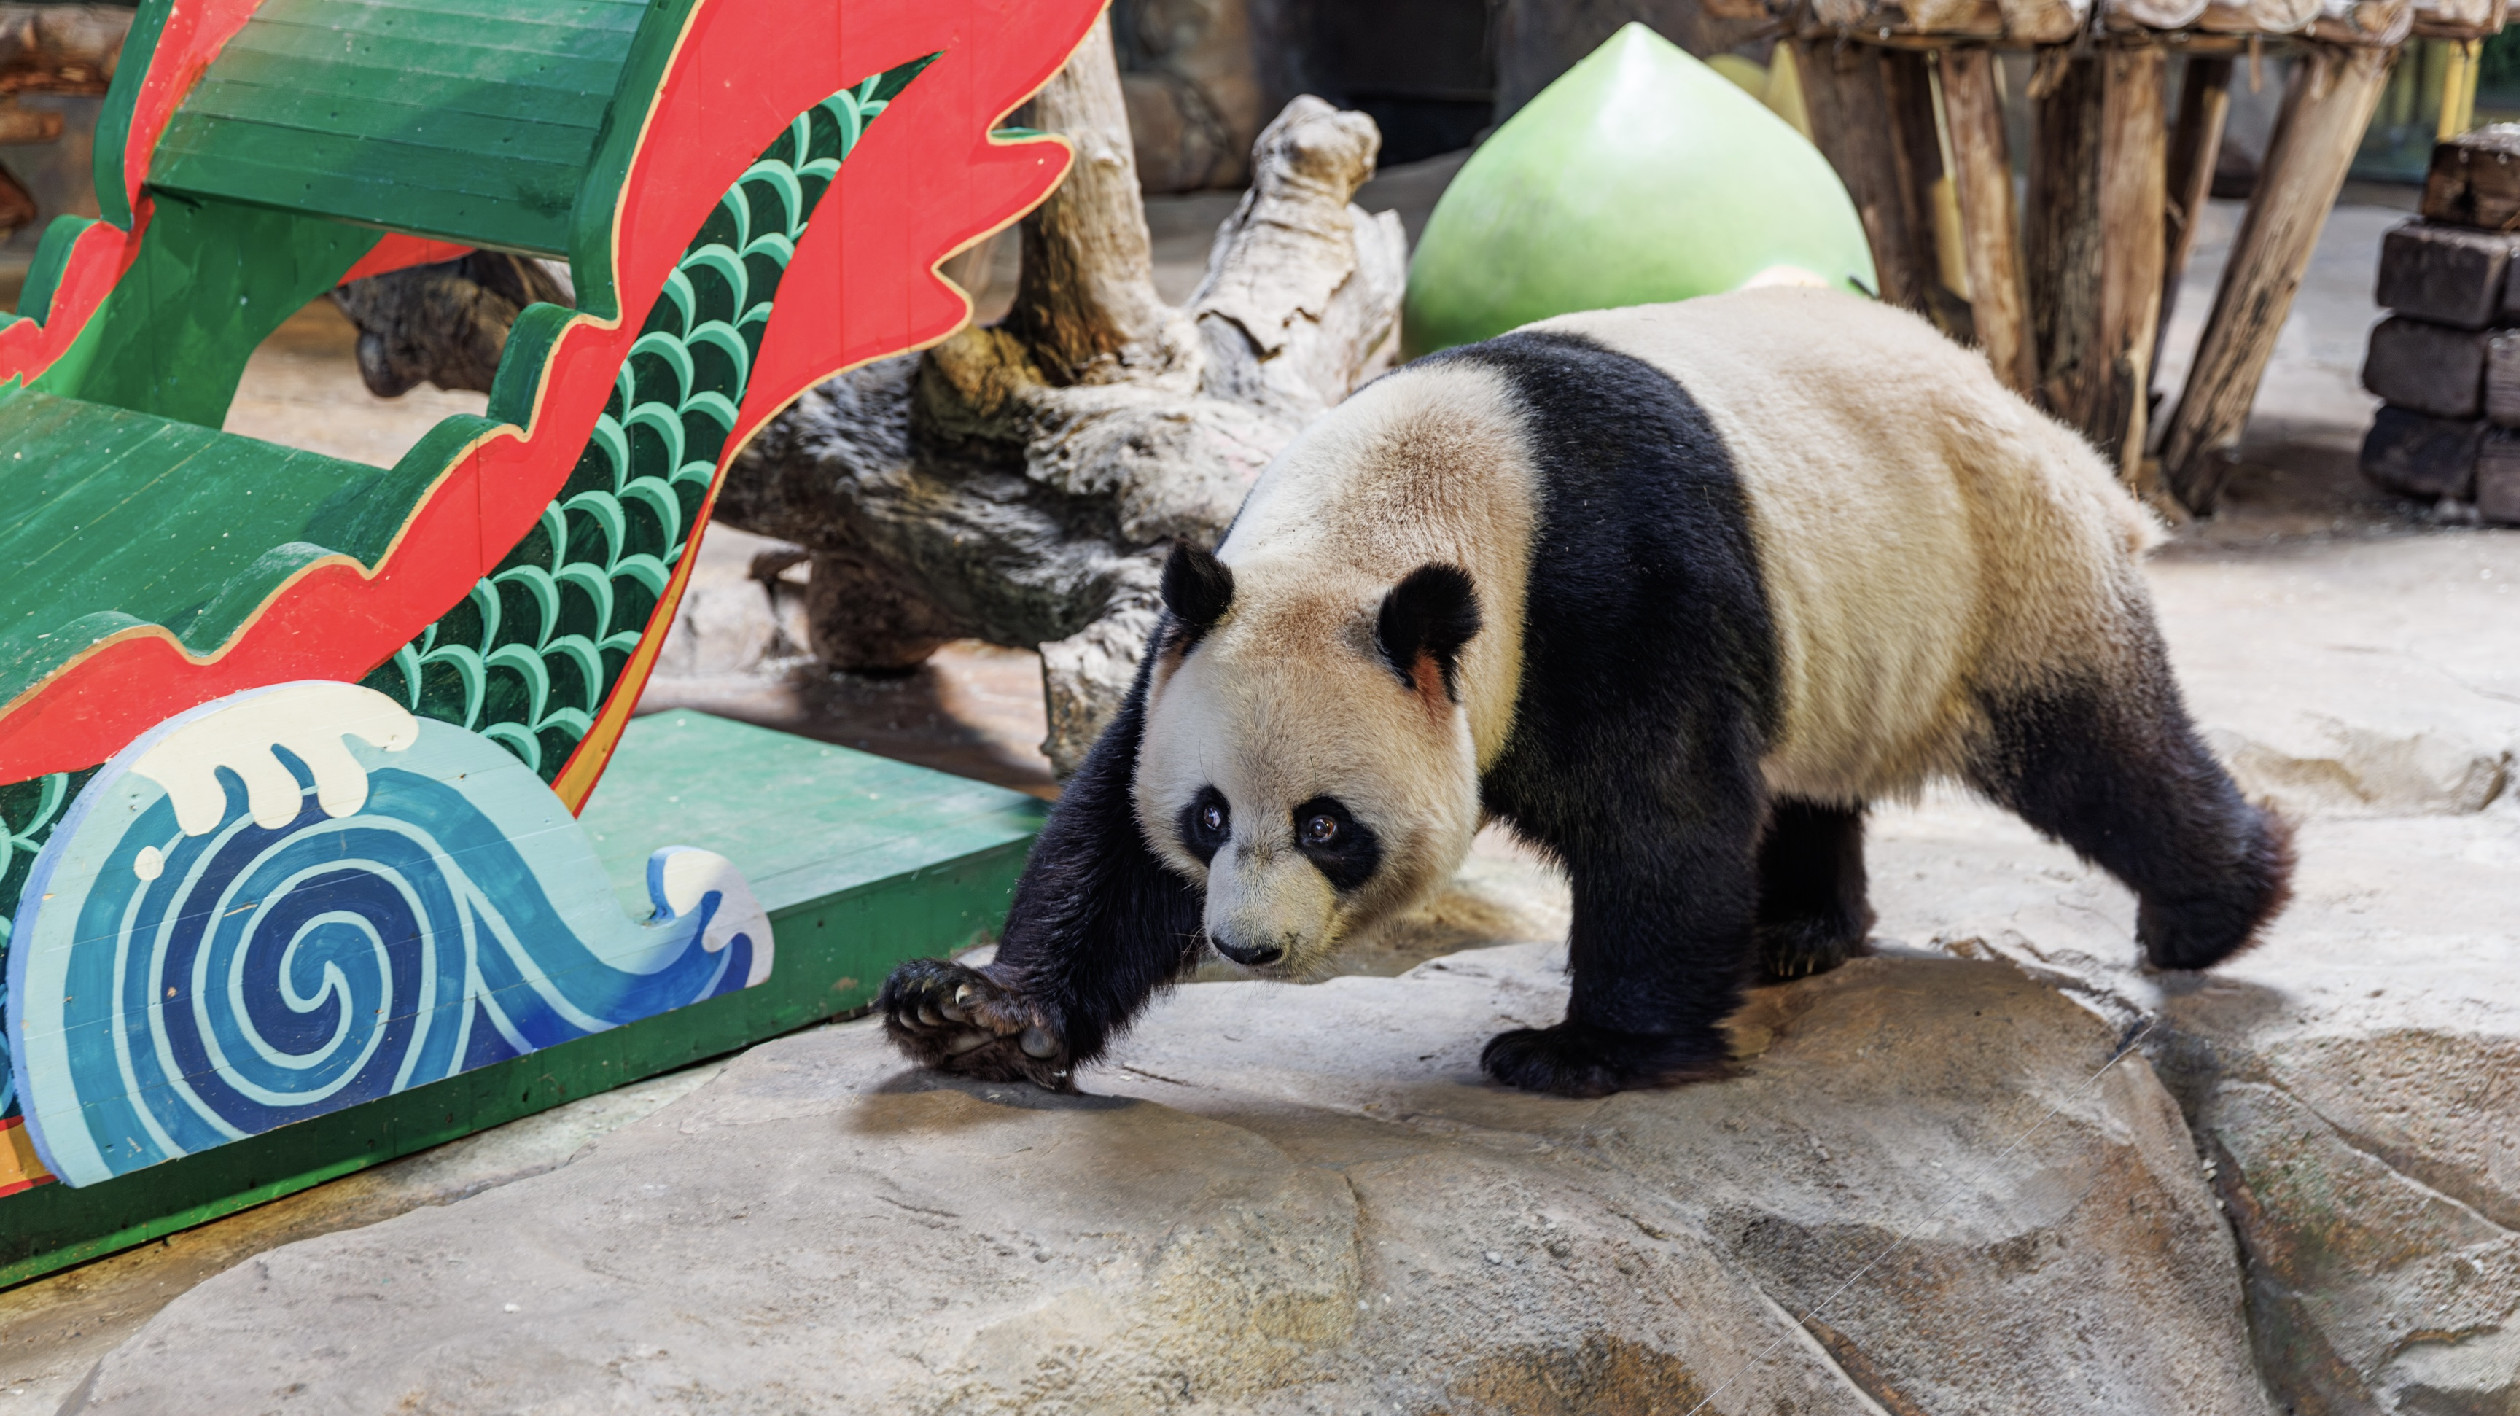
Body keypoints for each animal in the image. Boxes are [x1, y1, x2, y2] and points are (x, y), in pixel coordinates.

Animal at [876, 287, 2298, 1098]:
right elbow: (1109, 831)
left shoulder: (1617, 587)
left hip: (1996, 571)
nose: (1244, 947)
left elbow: (1661, 818)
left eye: (1330, 827)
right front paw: (975, 1013)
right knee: (1802, 774)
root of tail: (2016, 400)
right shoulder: (1212, 612)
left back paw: (2213, 909)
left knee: (2102, 754)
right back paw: (1798, 932)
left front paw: (1584, 1051)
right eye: (1212, 816)